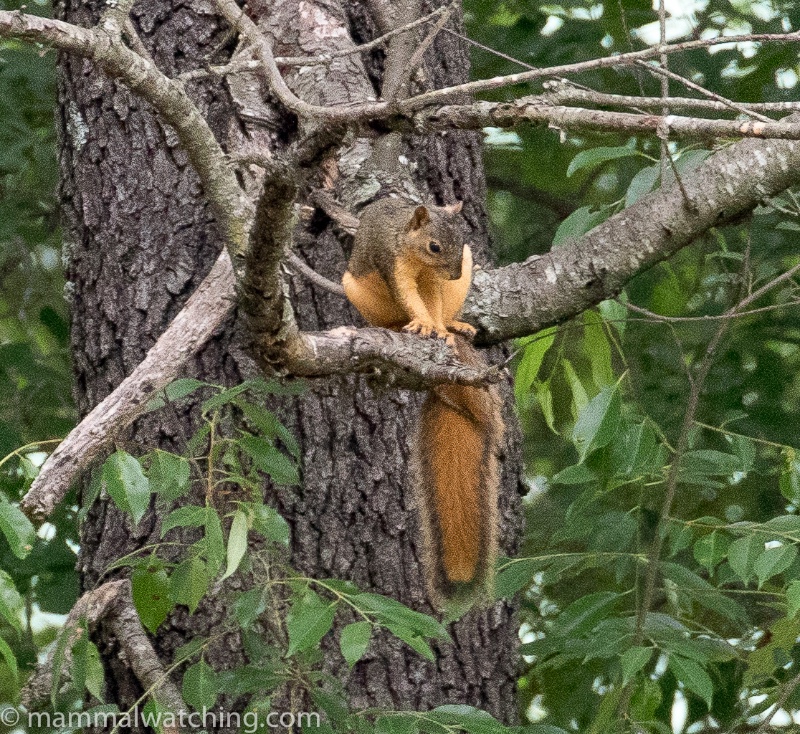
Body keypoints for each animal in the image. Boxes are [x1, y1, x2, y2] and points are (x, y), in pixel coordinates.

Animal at [340, 198, 504, 608]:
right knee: (393, 316)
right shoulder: (392, 262)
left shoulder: (437, 282)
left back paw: (455, 327)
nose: (454, 272)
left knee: (447, 309)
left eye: (461, 240)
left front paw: (440, 328)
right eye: (434, 246)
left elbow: (433, 303)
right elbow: (411, 299)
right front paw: (423, 324)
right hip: (357, 289)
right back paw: (398, 328)